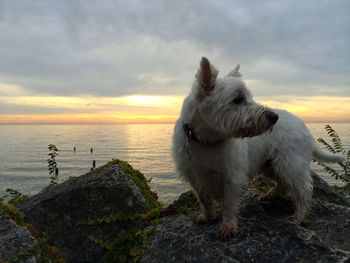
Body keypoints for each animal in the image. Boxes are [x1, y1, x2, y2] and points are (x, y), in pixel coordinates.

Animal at [172, 56, 344, 240]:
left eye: (248, 96)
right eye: (237, 99)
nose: (274, 117)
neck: (207, 141)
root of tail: (305, 127)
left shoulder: (233, 176)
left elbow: (229, 204)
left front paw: (228, 226)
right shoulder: (194, 176)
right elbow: (203, 198)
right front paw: (207, 216)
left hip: (290, 163)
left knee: (304, 189)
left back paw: (298, 217)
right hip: (269, 165)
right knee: (283, 183)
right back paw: (271, 195)